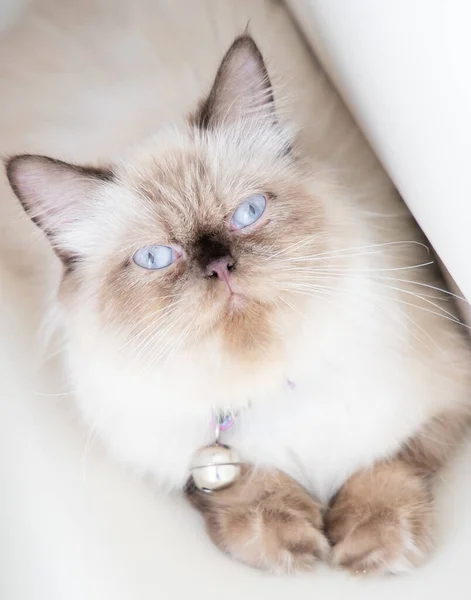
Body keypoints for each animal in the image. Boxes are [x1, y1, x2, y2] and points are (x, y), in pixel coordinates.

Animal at [3, 0, 471, 576]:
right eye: (156, 259)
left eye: (248, 213)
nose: (220, 265)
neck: (269, 385)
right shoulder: (180, 460)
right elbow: (240, 488)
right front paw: (292, 544)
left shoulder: (444, 397)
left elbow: (388, 464)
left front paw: (368, 547)